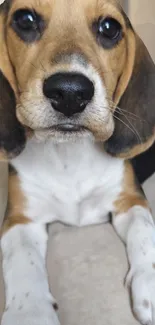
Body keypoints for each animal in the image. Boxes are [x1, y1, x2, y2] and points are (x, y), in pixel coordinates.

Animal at [0, 0, 155, 324]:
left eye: (109, 28)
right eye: (25, 19)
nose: (70, 92)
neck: (68, 156)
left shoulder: (130, 200)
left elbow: (143, 230)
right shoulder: (20, 219)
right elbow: (21, 259)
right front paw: (29, 312)